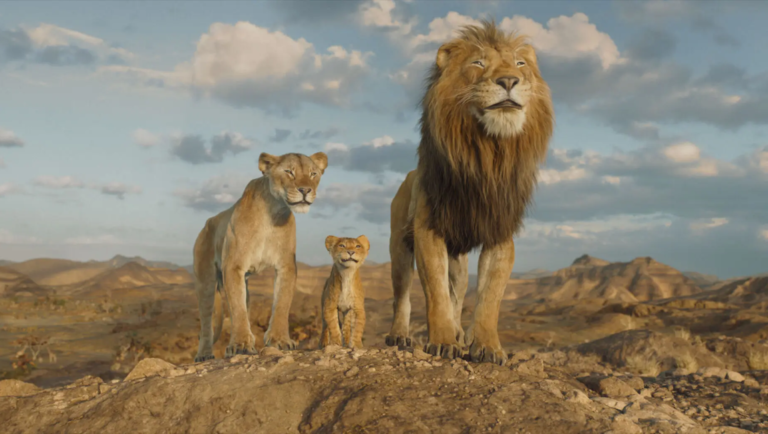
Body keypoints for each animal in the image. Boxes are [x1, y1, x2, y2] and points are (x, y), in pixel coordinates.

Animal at [193, 151, 328, 362]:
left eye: (313, 173)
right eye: (289, 172)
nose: (305, 190)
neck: (273, 212)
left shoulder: (286, 265)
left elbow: (281, 303)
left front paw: (280, 340)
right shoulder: (233, 266)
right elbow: (237, 309)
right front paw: (240, 345)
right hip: (205, 281)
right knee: (207, 321)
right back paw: (204, 354)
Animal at [385, 21, 554, 365]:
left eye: (520, 64)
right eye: (478, 63)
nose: (509, 81)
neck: (488, 154)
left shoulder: (499, 233)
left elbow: (490, 297)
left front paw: (487, 347)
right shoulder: (428, 230)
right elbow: (435, 293)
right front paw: (442, 341)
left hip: (459, 262)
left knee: (458, 294)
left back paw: (460, 333)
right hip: (399, 246)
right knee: (402, 294)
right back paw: (399, 335)